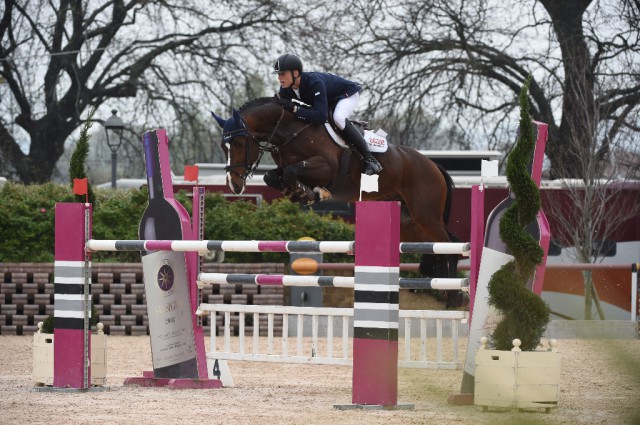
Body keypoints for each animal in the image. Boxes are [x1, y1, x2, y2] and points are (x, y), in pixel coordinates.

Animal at [212, 96, 462, 302]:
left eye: (239, 143)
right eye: (223, 145)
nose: (234, 185)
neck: (290, 130)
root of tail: (434, 165)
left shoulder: (325, 166)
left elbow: (292, 173)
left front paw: (312, 193)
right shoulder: (284, 167)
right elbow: (272, 176)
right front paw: (302, 193)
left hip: (426, 215)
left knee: (449, 245)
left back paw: (454, 296)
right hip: (409, 222)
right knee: (436, 247)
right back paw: (443, 289)